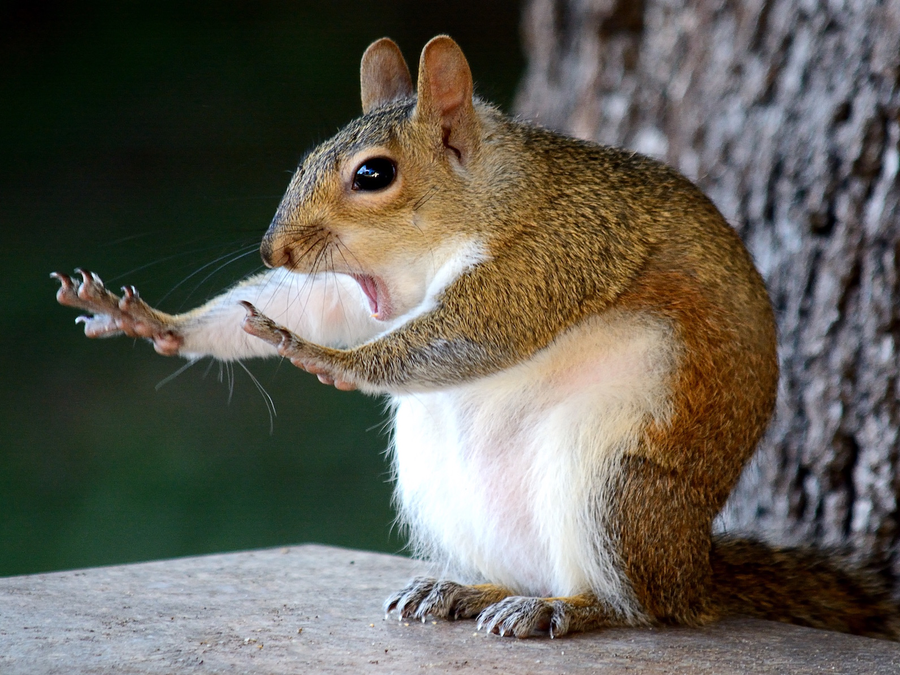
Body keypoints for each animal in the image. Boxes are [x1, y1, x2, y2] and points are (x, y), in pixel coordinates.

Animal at [51, 35, 900, 640]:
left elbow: (473, 333)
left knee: (644, 607)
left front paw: (327, 358)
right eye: (309, 157)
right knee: (521, 572)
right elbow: (320, 304)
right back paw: (463, 587)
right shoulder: (367, 289)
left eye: (373, 175)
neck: (486, 201)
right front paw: (155, 321)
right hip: (447, 489)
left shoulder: (556, 252)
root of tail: (696, 570)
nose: (275, 250)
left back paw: (569, 608)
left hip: (615, 487)